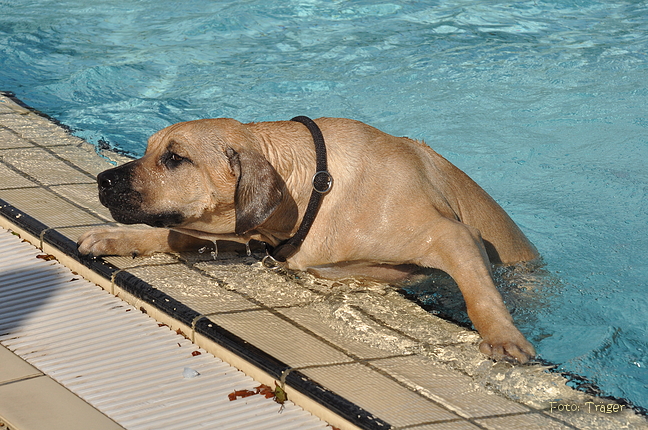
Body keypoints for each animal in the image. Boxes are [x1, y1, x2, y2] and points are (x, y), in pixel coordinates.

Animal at [78, 116, 540, 362]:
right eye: (150, 150)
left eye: (174, 158)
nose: (103, 181)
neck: (317, 188)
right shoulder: (244, 234)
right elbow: (173, 233)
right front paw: (120, 236)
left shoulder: (449, 234)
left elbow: (479, 294)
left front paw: (502, 335)